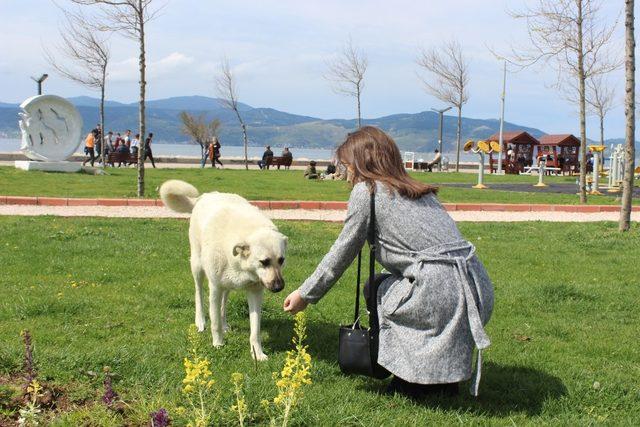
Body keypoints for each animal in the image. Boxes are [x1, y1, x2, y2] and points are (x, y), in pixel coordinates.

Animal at [160, 181, 288, 362]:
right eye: (264, 262)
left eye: (281, 260)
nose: (279, 287)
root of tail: (204, 196)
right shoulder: (215, 288)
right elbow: (214, 322)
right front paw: (218, 344)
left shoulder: (255, 292)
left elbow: (255, 329)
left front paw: (258, 353)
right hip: (198, 267)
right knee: (199, 294)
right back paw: (200, 321)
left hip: (226, 284)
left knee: (223, 304)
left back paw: (225, 324)